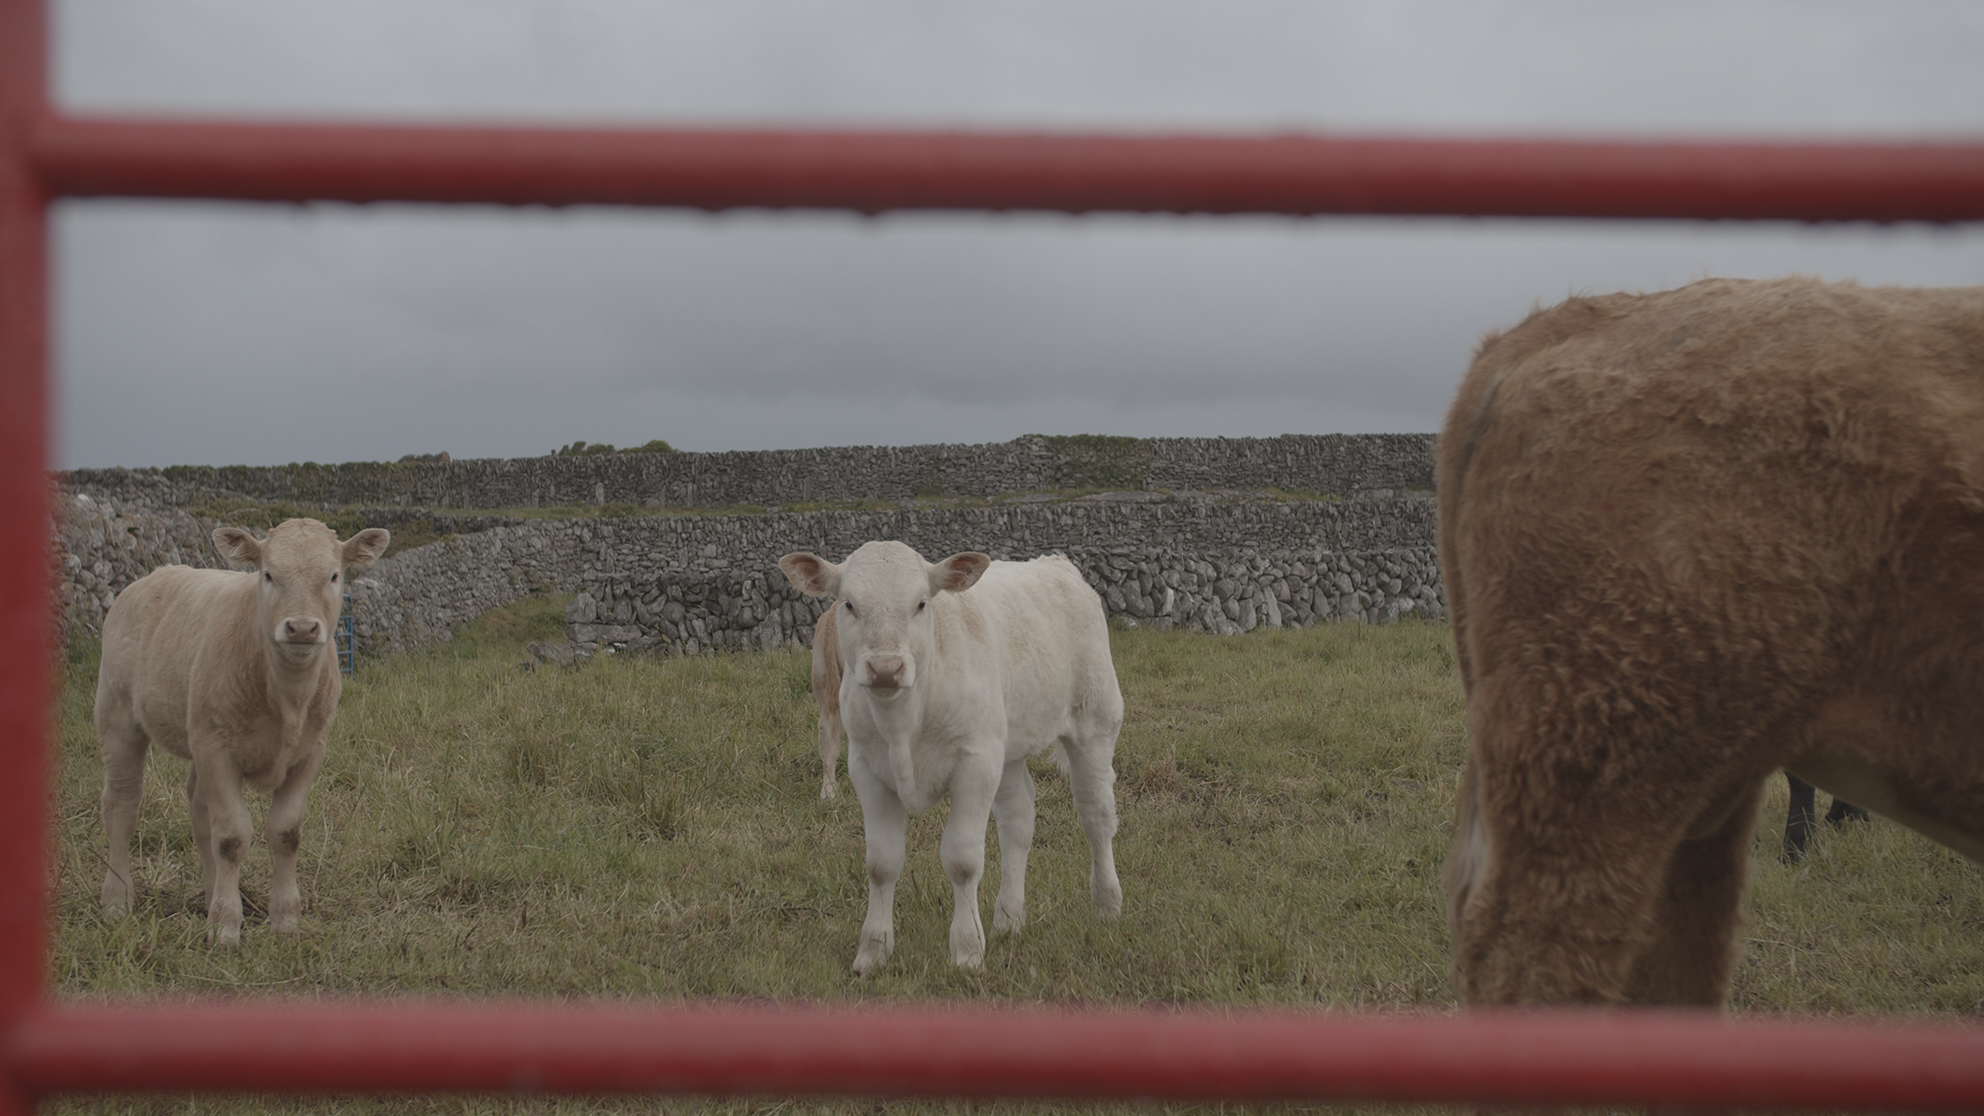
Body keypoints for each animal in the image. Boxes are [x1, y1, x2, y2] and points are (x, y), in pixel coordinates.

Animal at [97, 518, 390, 946]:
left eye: (334, 575)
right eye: (267, 574)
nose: (302, 628)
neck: (287, 698)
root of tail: (149, 578)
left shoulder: (310, 751)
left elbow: (285, 832)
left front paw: (284, 919)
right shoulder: (216, 748)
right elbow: (232, 837)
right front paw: (226, 927)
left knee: (199, 808)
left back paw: (209, 895)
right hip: (118, 716)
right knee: (122, 804)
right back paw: (118, 901)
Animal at [778, 542, 1124, 974]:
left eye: (921, 603)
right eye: (849, 604)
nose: (886, 669)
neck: (904, 721)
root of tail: (1057, 564)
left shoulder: (974, 765)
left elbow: (963, 861)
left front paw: (967, 951)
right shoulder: (866, 770)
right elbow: (881, 863)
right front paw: (873, 951)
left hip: (1095, 722)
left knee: (1096, 816)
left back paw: (1107, 907)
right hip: (1004, 745)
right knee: (1018, 819)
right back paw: (1008, 919)